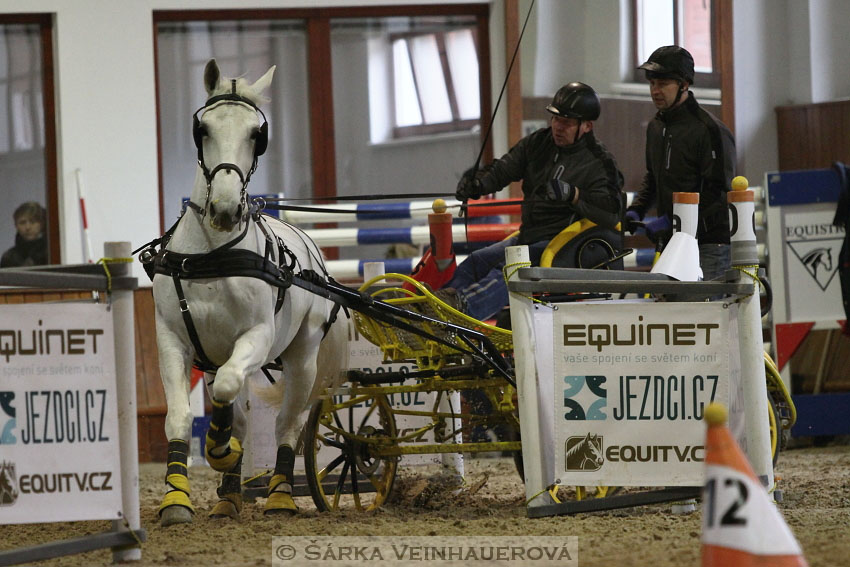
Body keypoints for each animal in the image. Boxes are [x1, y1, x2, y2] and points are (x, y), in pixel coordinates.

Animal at [147, 60, 346, 524]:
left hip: (303, 357)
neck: (213, 255)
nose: (224, 209)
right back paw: (229, 496)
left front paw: (221, 450)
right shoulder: (173, 340)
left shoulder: (257, 336)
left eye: (258, 134)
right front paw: (177, 497)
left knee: (287, 424)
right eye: (202, 128)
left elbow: (228, 389)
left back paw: (280, 495)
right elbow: (181, 416)